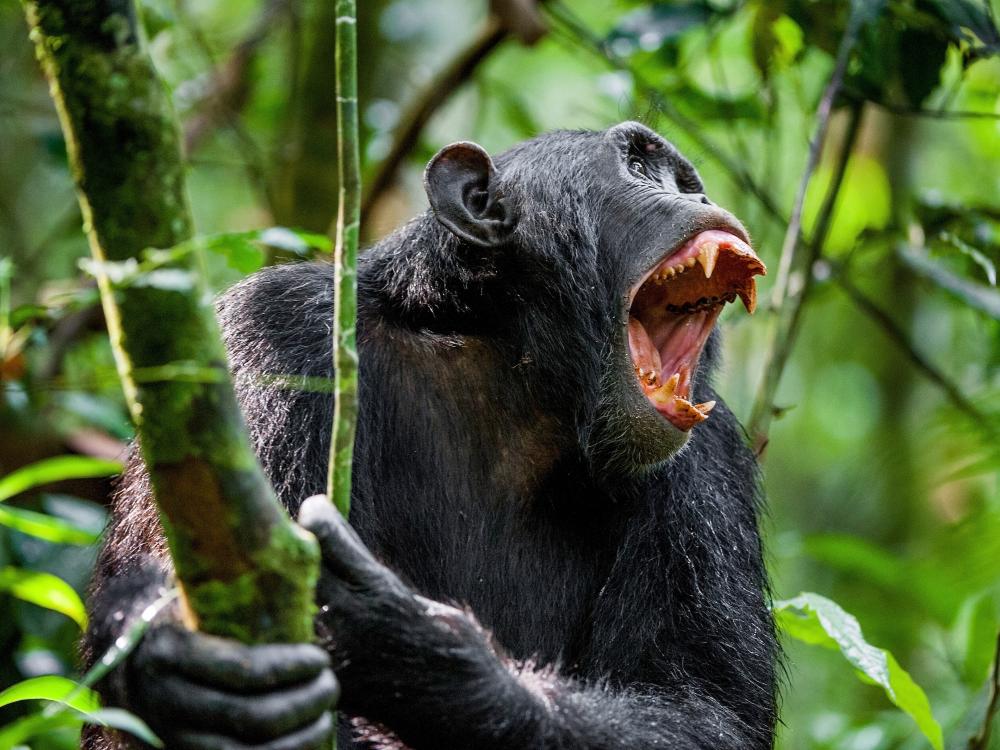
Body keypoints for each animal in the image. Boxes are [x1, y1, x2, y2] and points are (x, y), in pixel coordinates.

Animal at [82, 123, 776, 750]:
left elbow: (705, 711)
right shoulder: (268, 335)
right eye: (638, 165)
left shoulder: (710, 460)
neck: (511, 364)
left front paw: (416, 644)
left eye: (685, 181)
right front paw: (166, 655)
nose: (699, 197)